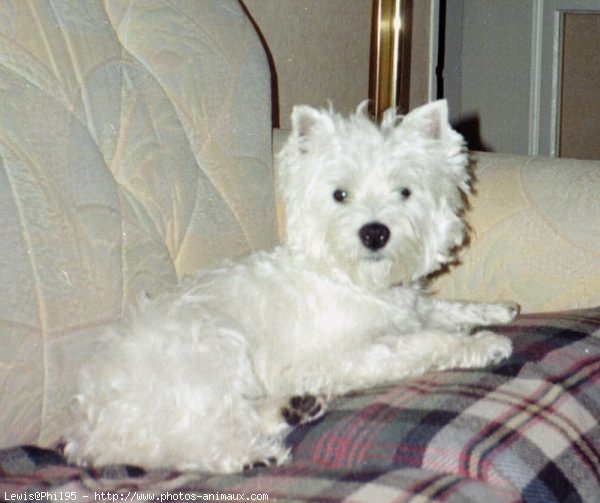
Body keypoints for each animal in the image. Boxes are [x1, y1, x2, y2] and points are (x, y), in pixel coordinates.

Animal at [63, 100, 516, 474]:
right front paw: (483, 342)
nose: (374, 232)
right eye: (340, 194)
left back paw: (294, 408)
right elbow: (422, 343)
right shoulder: (345, 355)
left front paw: (499, 310)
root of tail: (89, 425)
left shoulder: (410, 307)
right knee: (183, 441)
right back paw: (253, 456)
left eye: (404, 191)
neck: (356, 280)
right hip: (212, 350)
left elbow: (443, 310)